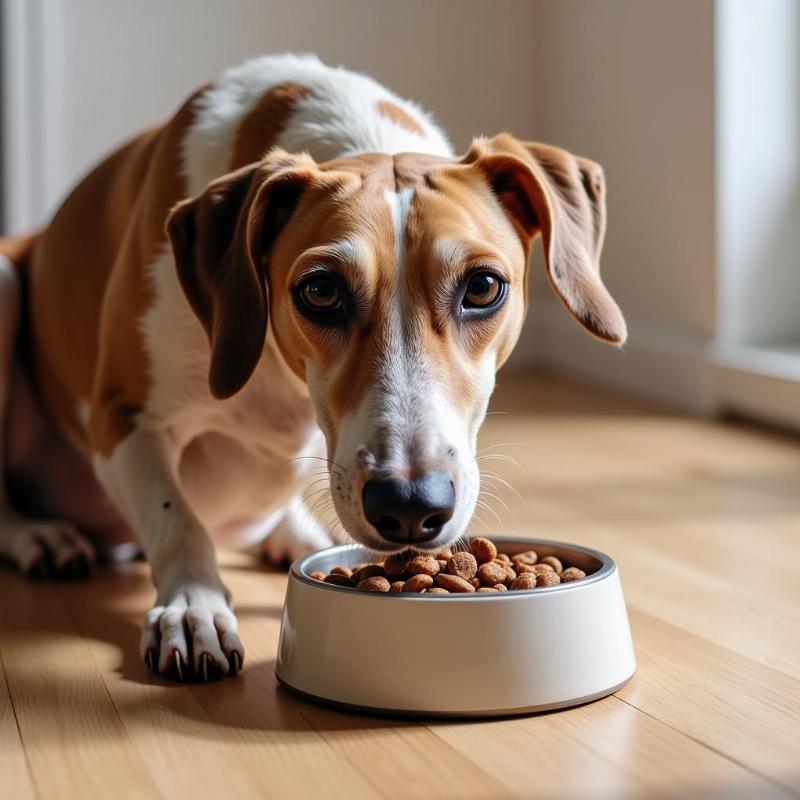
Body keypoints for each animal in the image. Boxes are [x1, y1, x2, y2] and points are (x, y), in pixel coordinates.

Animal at [0, 54, 624, 680]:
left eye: (483, 287)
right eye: (320, 291)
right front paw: (193, 607)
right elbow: (176, 519)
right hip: (6, 279)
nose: (410, 507)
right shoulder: (123, 414)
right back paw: (41, 537)